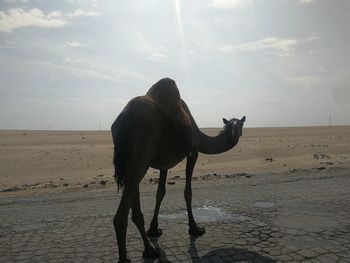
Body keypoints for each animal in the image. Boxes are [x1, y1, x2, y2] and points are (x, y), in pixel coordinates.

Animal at [112, 77, 246, 262]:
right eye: (232, 124)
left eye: (240, 124)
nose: (234, 133)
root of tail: (123, 119)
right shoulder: (193, 151)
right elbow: (187, 192)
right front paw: (195, 228)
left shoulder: (164, 163)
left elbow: (160, 193)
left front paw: (154, 229)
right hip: (140, 160)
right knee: (121, 215)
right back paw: (128, 257)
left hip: (130, 165)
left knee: (135, 209)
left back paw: (149, 250)